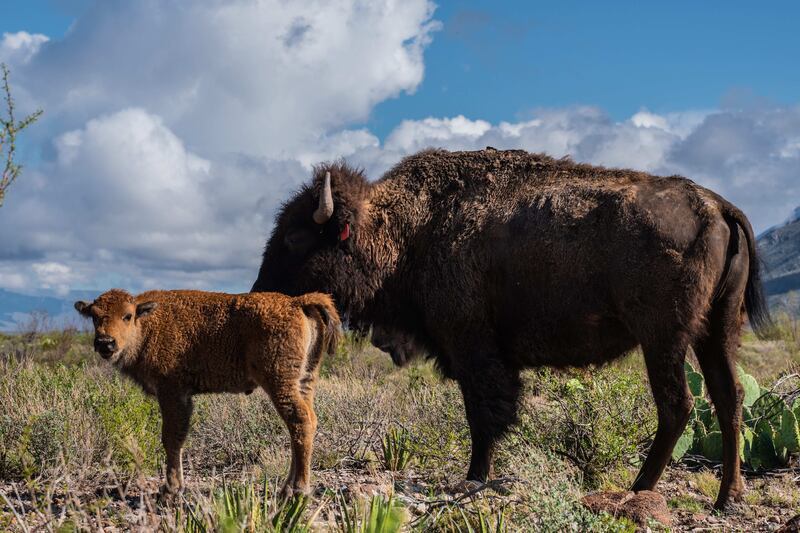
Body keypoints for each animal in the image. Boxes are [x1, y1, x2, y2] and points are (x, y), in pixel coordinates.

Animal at [75, 288, 338, 496]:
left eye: (127, 316)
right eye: (94, 317)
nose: (105, 343)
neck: (148, 323)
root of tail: (297, 302)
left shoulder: (172, 392)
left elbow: (171, 437)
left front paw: (170, 489)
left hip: (280, 382)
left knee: (300, 421)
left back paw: (297, 490)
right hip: (304, 379)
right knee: (304, 424)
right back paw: (287, 487)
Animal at [253, 148, 772, 510]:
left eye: (295, 237)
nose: (260, 292)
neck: (407, 229)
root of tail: (718, 206)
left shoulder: (473, 348)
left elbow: (483, 417)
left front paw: (474, 478)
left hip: (663, 337)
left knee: (677, 404)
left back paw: (638, 488)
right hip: (716, 331)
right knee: (728, 398)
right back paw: (727, 498)